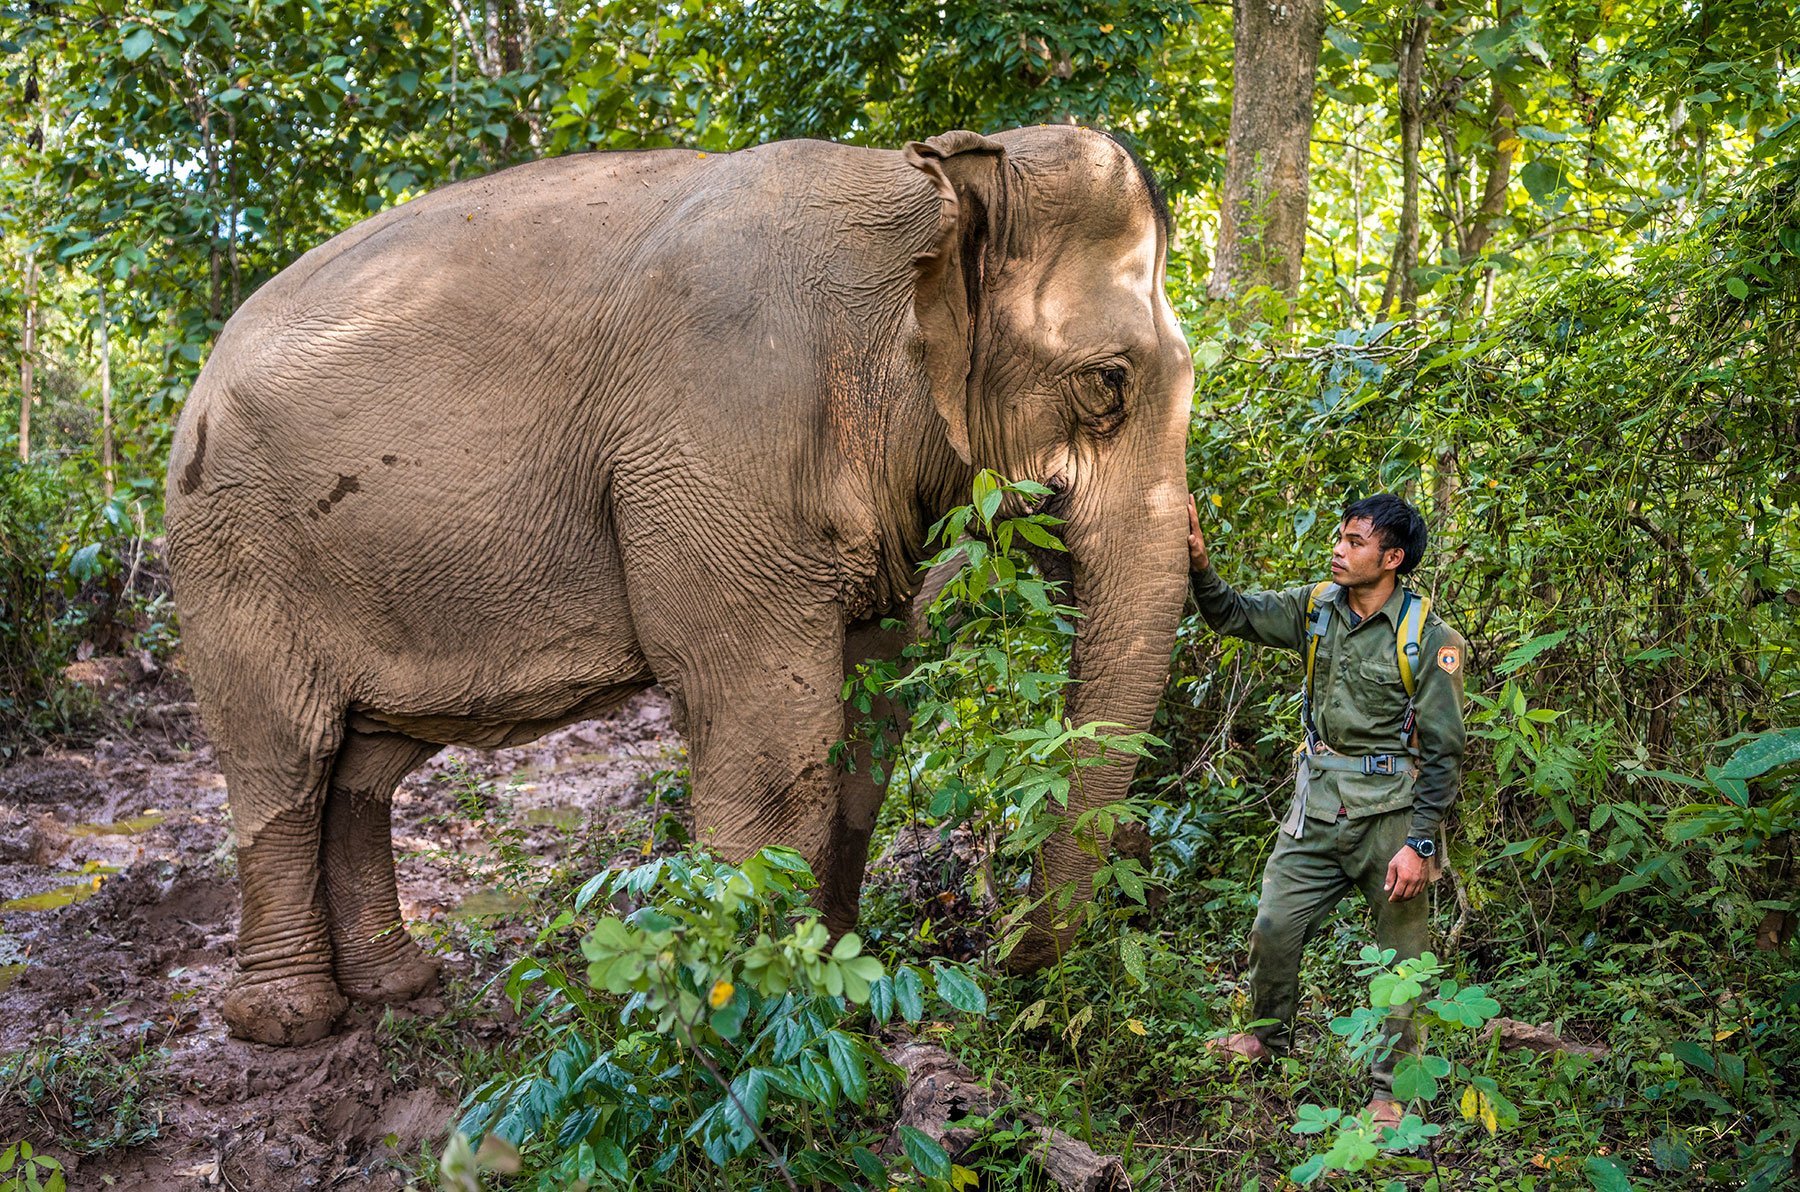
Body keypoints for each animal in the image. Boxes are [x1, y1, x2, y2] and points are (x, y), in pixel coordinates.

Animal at [165, 126, 1195, 1051]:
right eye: (1108, 384)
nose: (1005, 952)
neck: (923, 185)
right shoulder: (723, 436)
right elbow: (775, 738)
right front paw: (766, 1019)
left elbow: (868, 722)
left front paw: (842, 983)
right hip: (233, 549)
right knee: (285, 757)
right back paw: (288, 1022)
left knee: (362, 767)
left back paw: (397, 986)